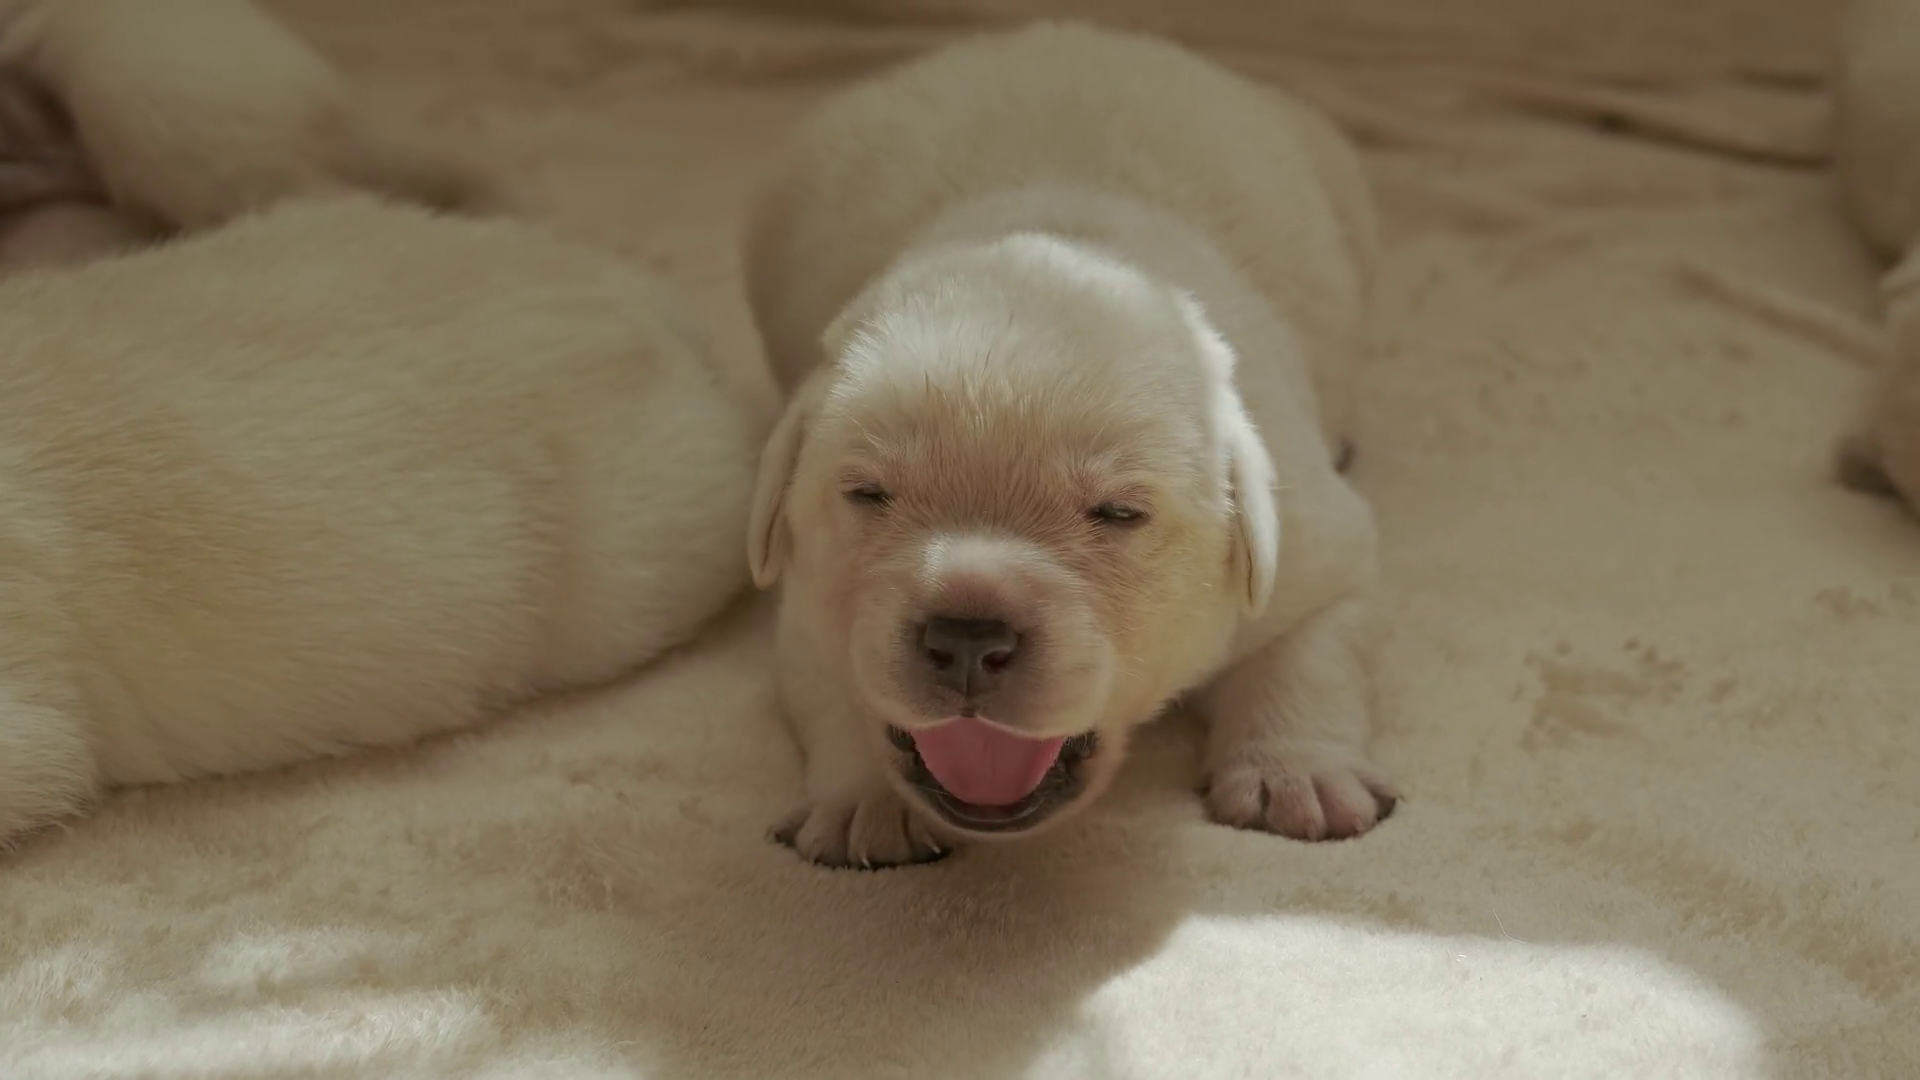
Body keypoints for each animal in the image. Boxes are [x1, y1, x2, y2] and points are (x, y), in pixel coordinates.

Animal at [741, 22, 1395, 869]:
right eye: (867, 495)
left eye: (1118, 514)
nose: (966, 638)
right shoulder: (805, 599)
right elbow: (832, 688)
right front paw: (865, 804)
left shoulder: (1318, 548)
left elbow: (1309, 653)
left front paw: (1295, 773)